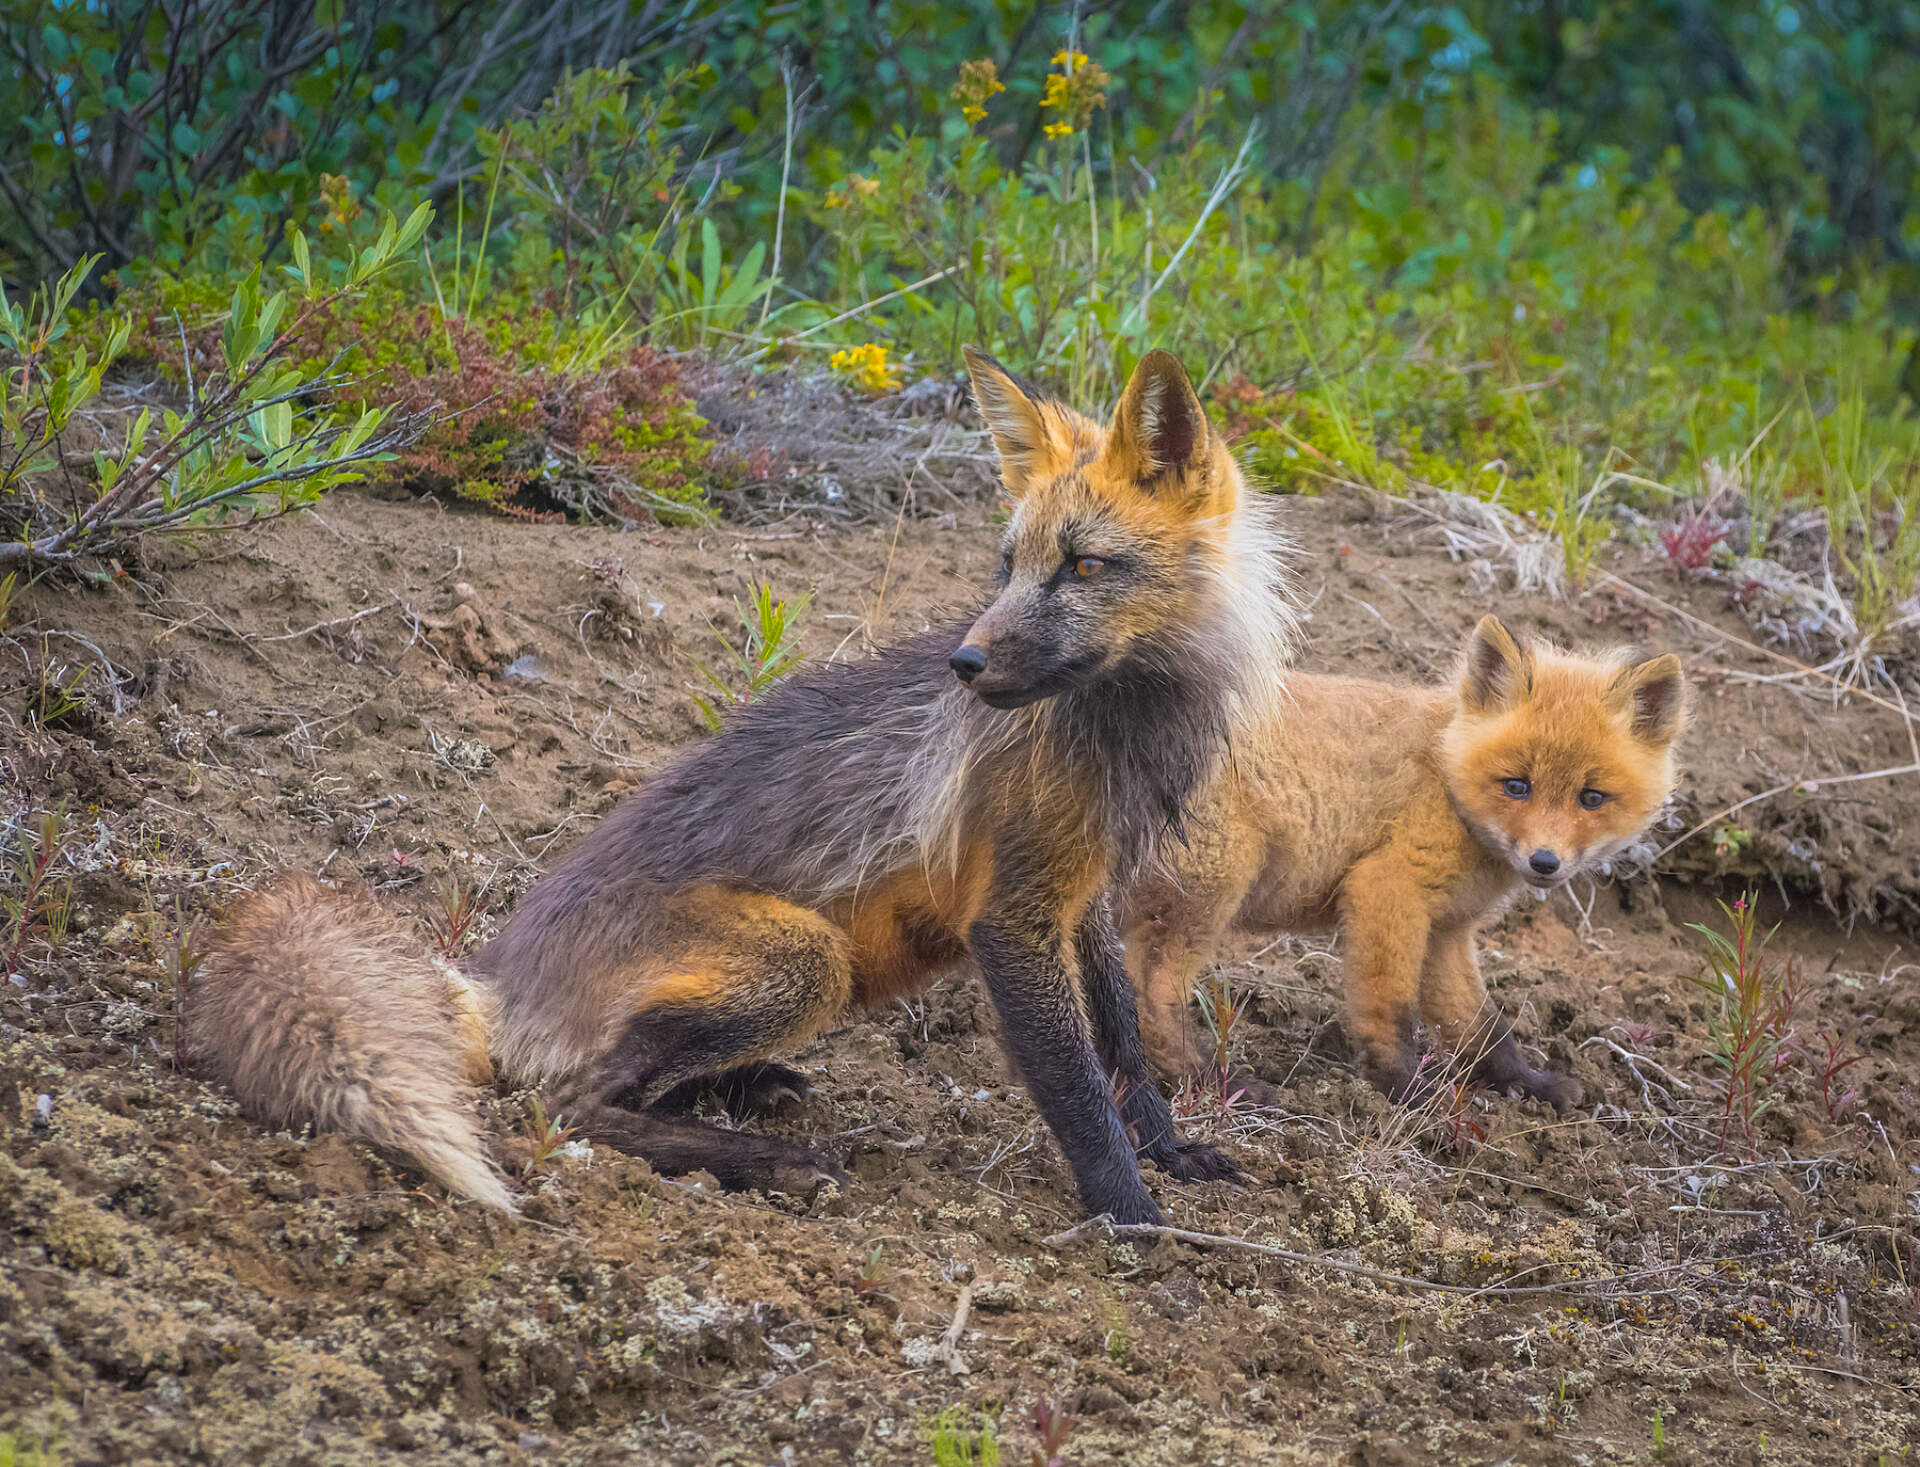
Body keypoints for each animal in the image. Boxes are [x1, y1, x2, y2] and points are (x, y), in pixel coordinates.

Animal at [187, 349, 1297, 1221]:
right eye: (1007, 564)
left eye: (1082, 566)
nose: (967, 666)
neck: (1122, 730)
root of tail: (493, 974)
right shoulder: (1012, 912)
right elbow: (1075, 1091)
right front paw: (1131, 1215)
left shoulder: (1086, 892)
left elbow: (1126, 1051)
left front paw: (1170, 1151)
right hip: (808, 960)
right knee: (568, 1102)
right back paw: (767, 1158)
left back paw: (752, 1092)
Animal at [1121, 614, 1689, 1106]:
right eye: (1517, 786)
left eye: (1591, 798)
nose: (1544, 862)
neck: (1446, 776)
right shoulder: (1387, 888)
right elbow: (1391, 1010)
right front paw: (1404, 1091)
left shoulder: (1447, 930)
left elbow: (1483, 1027)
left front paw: (1530, 1084)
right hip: (1211, 887)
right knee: (1151, 993)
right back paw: (1210, 1083)